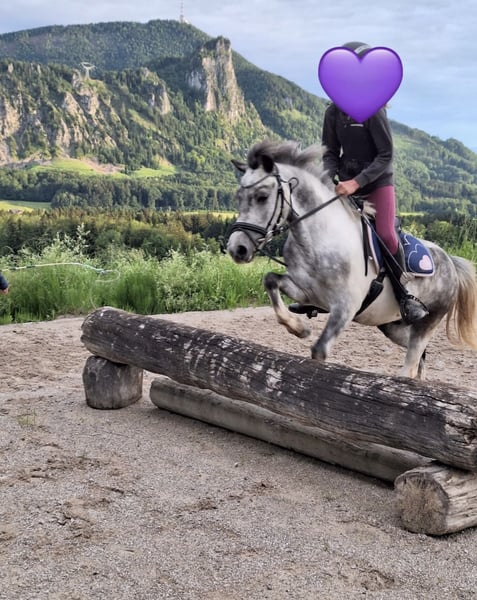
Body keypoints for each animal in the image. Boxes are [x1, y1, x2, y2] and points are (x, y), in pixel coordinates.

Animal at [227, 140, 477, 379]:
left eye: (262, 197)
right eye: (238, 197)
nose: (237, 248)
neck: (319, 239)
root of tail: (450, 261)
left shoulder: (345, 307)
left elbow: (319, 351)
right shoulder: (307, 291)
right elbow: (270, 280)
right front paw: (299, 328)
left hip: (426, 322)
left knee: (411, 362)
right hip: (392, 325)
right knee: (421, 358)